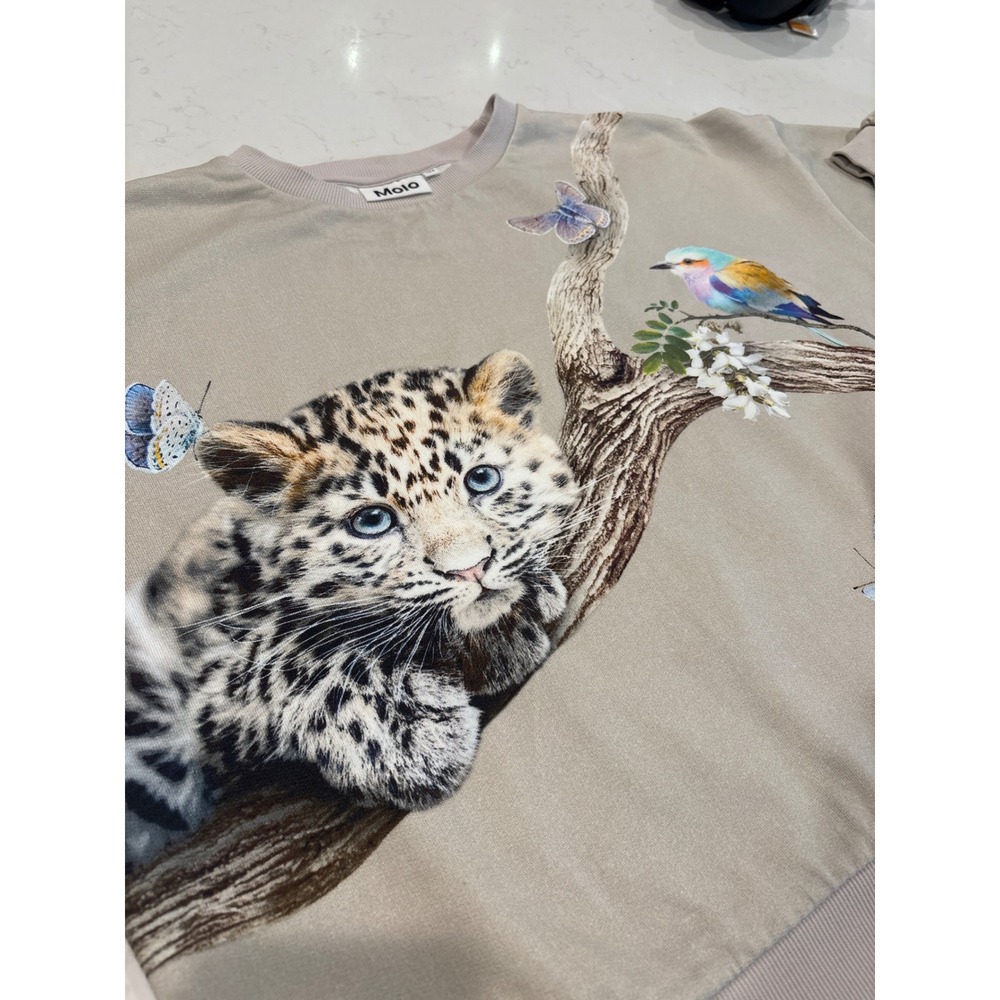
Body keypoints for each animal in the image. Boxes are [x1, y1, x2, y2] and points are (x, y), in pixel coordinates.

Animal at [125, 351, 579, 870]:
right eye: (372, 521)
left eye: (481, 480)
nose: (471, 568)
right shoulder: (200, 691)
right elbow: (295, 651)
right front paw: (410, 740)